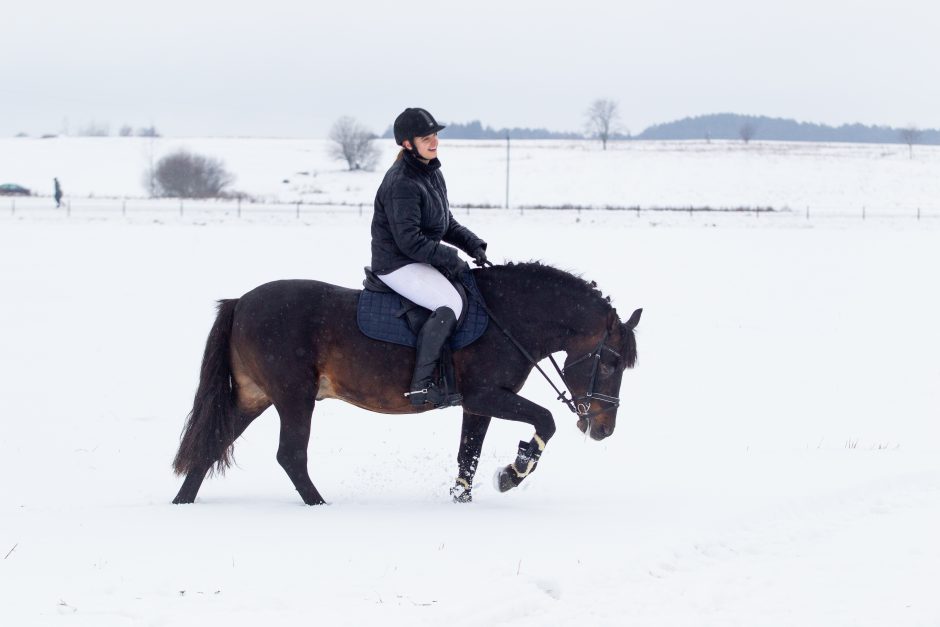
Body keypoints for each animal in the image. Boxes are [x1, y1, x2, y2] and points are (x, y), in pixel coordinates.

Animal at [171, 262, 640, 508]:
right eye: (611, 362)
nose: (603, 429)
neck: (508, 319)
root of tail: (241, 303)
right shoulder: (487, 395)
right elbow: (545, 421)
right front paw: (514, 472)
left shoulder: (478, 404)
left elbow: (468, 455)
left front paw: (463, 499)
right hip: (294, 397)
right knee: (290, 455)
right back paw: (319, 506)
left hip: (256, 397)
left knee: (212, 442)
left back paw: (183, 502)